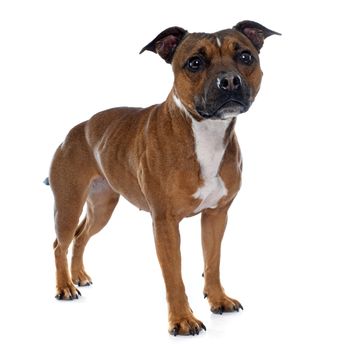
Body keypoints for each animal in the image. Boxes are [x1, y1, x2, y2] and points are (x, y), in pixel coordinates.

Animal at [46, 19, 280, 336]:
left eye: (245, 56)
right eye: (194, 62)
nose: (229, 81)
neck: (204, 132)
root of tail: (73, 131)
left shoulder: (216, 215)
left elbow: (213, 261)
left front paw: (218, 299)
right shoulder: (165, 223)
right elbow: (174, 276)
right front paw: (182, 320)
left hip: (102, 206)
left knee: (81, 237)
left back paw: (78, 275)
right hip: (68, 205)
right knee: (60, 243)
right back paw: (65, 287)